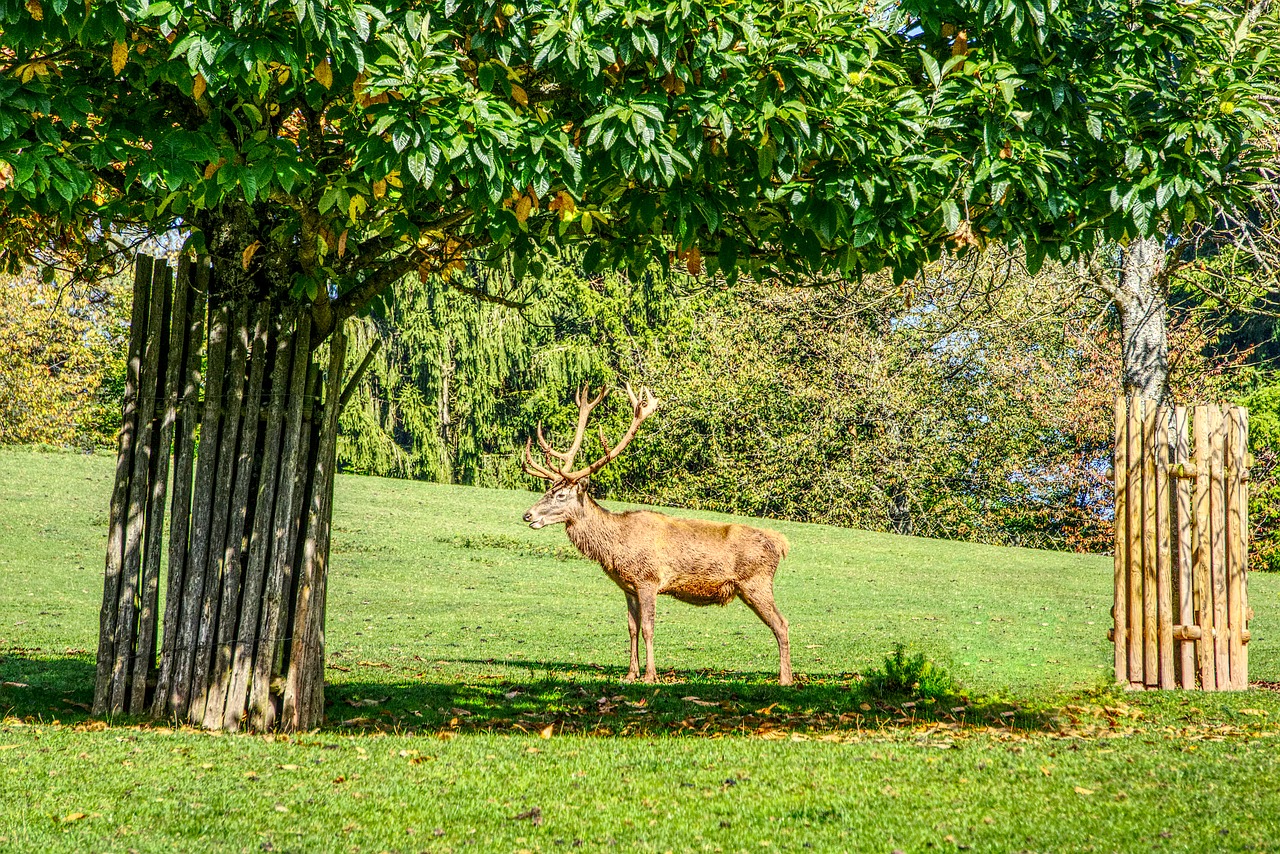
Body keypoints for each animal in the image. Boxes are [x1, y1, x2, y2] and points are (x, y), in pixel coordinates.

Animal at [519, 386, 788, 686]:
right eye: (548, 490)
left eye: (561, 495)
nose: (528, 515)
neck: (616, 546)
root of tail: (781, 543)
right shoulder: (628, 587)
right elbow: (632, 627)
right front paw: (630, 673)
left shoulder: (648, 579)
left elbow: (648, 627)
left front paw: (650, 675)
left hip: (757, 582)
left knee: (781, 624)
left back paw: (785, 679)